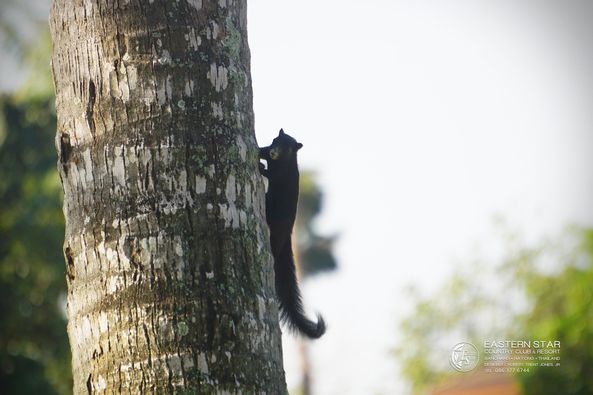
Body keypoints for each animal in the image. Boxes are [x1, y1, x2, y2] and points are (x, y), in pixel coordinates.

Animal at [258, 130, 326, 340]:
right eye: (275, 140)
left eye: (288, 148)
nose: (274, 152)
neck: (282, 162)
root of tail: (288, 233)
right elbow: (260, 151)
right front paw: (259, 154)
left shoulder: (281, 175)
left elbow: (269, 173)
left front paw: (260, 166)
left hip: (277, 232)